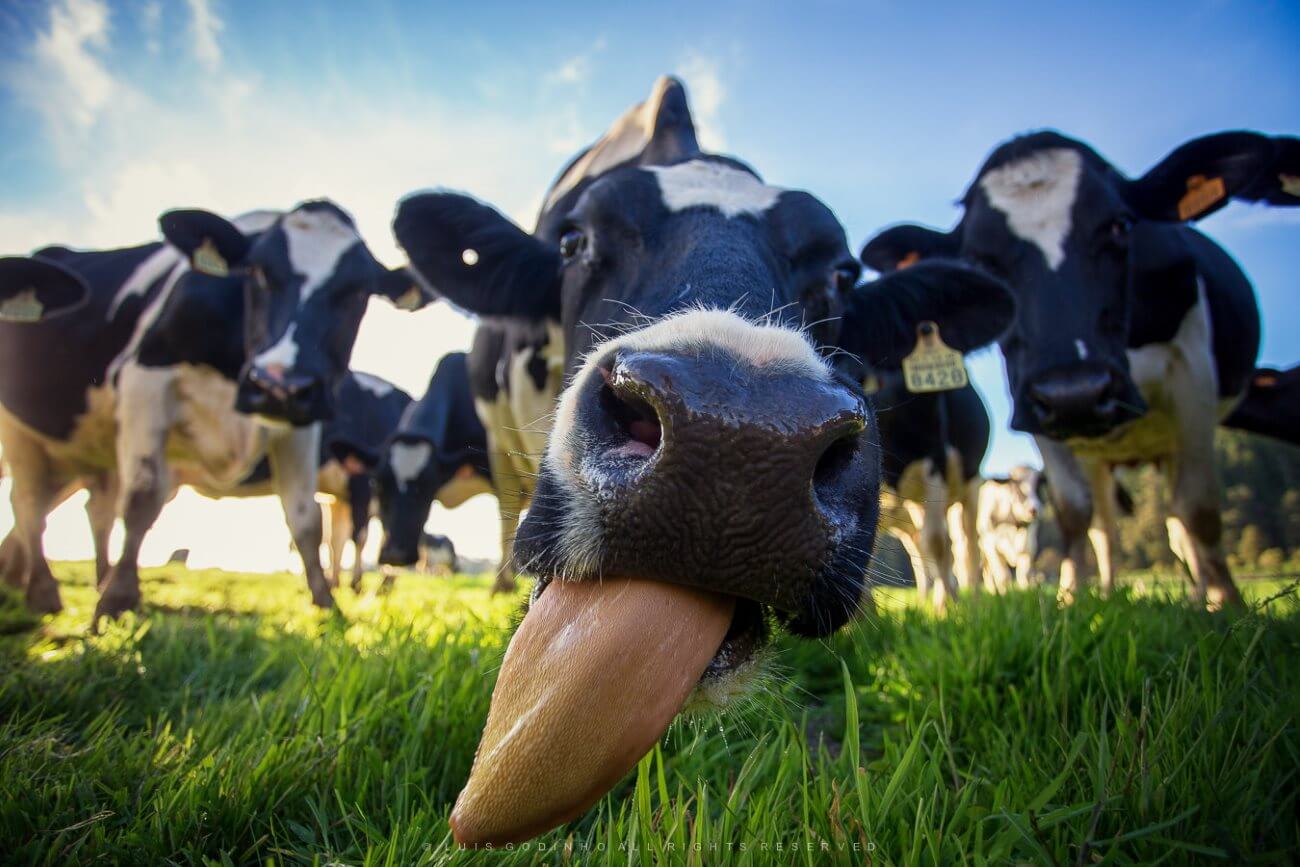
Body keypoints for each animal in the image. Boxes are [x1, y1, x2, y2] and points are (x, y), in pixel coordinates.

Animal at [857, 127, 1294, 610]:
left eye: (1120, 226)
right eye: (980, 258)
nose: (1077, 391)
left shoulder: (1193, 374)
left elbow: (1198, 507)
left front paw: (1226, 605)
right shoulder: (1037, 403)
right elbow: (1071, 510)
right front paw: (1072, 599)